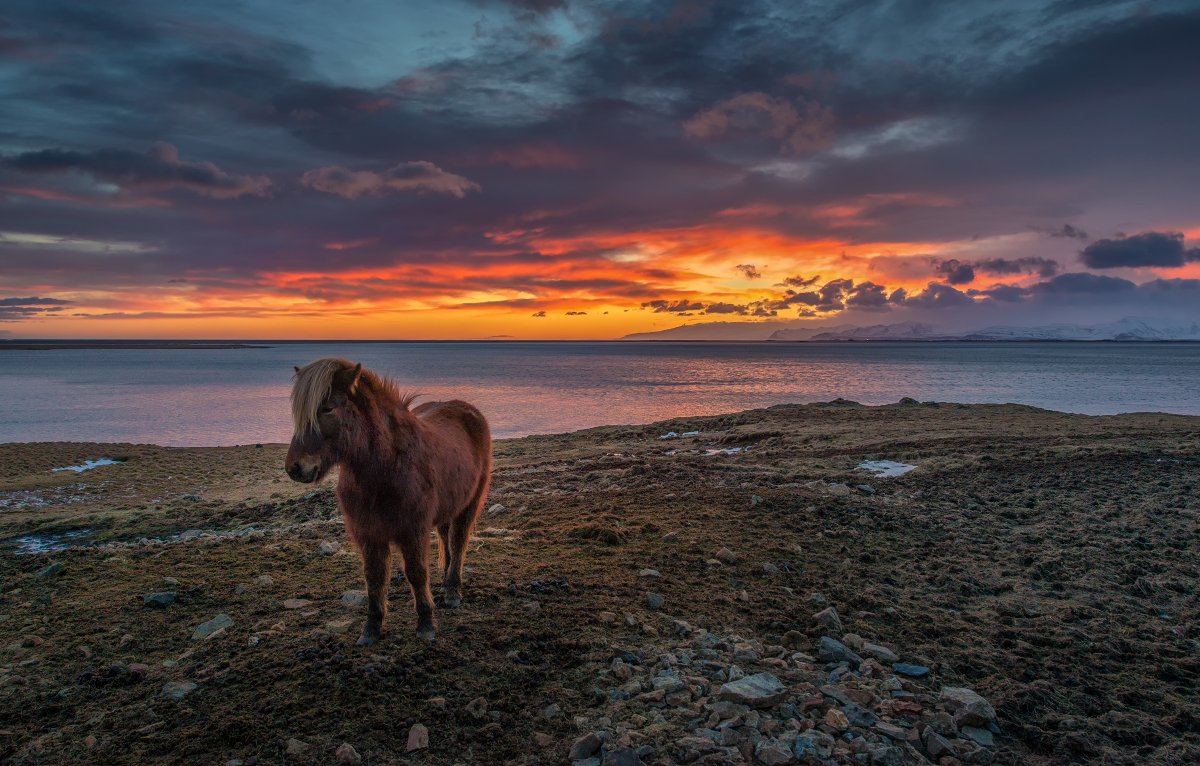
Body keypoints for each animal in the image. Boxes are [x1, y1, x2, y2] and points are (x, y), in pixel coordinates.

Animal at [285, 360, 492, 648]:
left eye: (327, 408)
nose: (294, 468)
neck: (387, 467)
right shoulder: (368, 534)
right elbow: (374, 578)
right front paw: (371, 628)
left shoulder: (412, 531)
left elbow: (416, 573)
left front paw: (426, 623)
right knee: (447, 539)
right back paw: (444, 585)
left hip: (469, 505)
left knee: (459, 542)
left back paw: (452, 591)